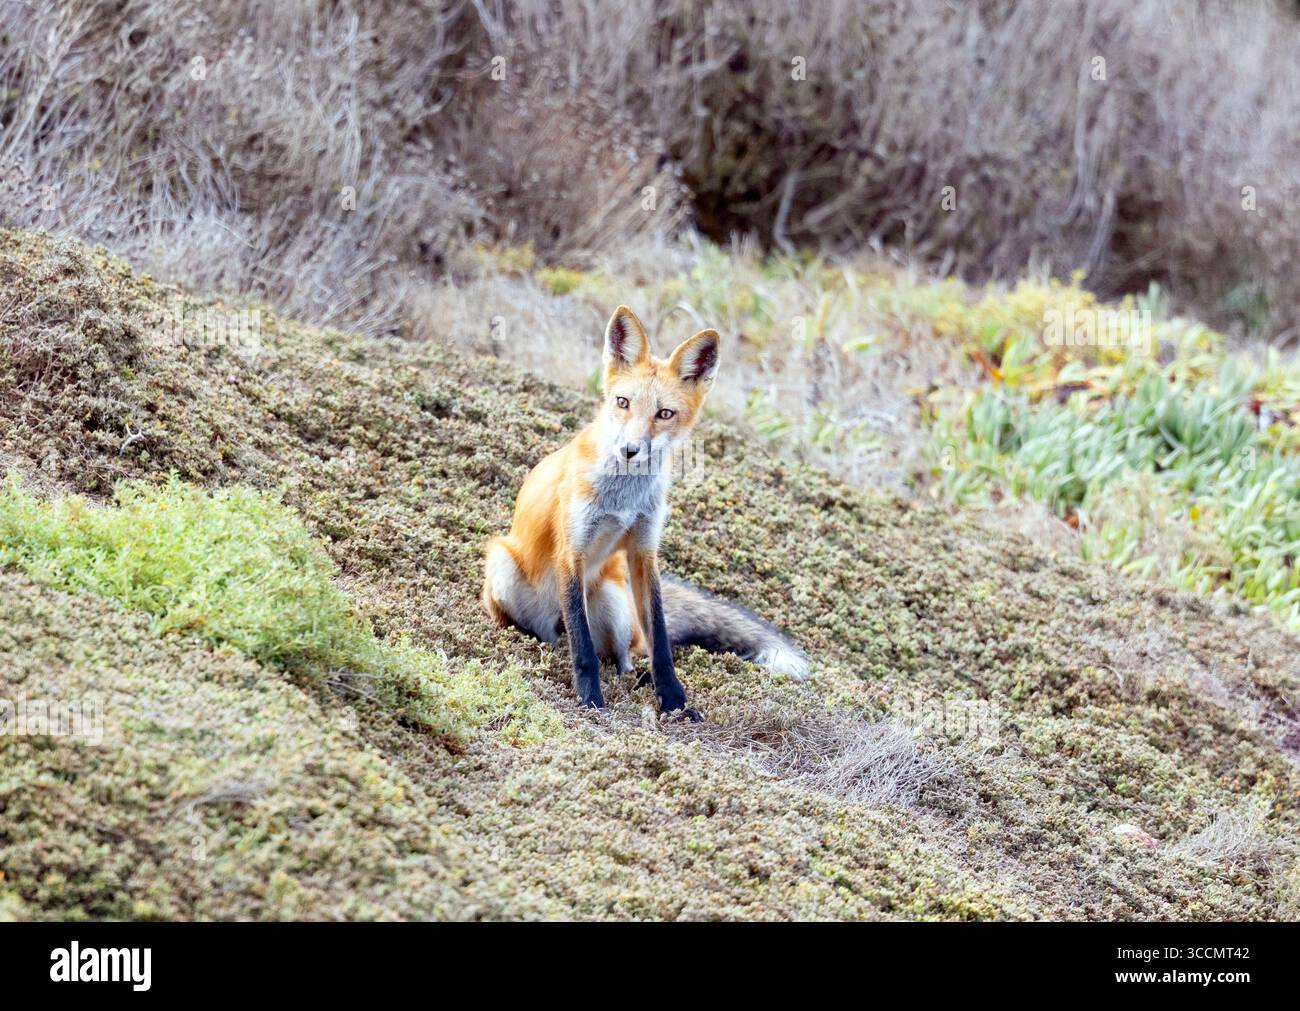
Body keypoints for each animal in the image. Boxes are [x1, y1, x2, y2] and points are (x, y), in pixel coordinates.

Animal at [481, 305, 810, 719]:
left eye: (664, 413)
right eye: (622, 402)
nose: (629, 450)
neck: (623, 499)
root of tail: (551, 628)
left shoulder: (643, 550)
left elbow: (661, 639)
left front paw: (674, 700)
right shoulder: (572, 549)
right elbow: (583, 651)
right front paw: (590, 699)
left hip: (614, 601)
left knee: (624, 653)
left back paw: (630, 676)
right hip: (502, 563)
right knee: (558, 637)